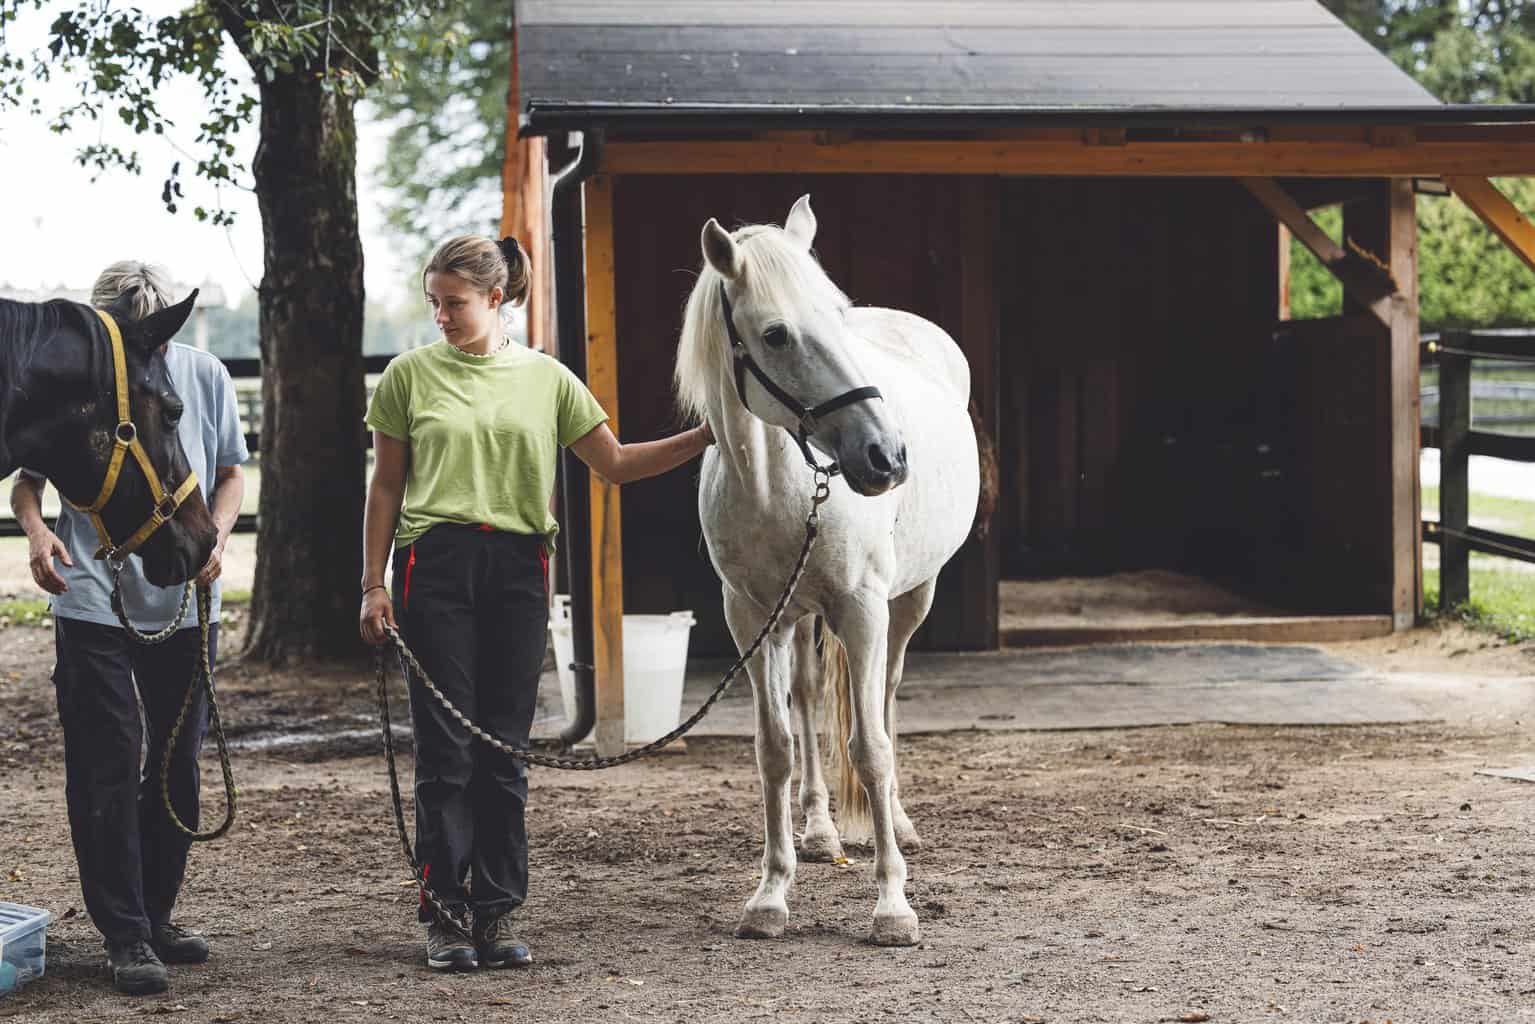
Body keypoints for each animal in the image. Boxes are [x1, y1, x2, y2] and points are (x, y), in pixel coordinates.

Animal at [678, 191, 976, 945]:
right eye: (776, 335)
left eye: (837, 318)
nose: (886, 457)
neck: (777, 485)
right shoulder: (749, 618)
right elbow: (775, 748)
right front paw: (770, 893)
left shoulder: (864, 609)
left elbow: (869, 746)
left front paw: (893, 904)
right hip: (796, 619)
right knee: (809, 697)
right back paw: (818, 832)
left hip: (909, 600)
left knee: (886, 697)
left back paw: (892, 819)